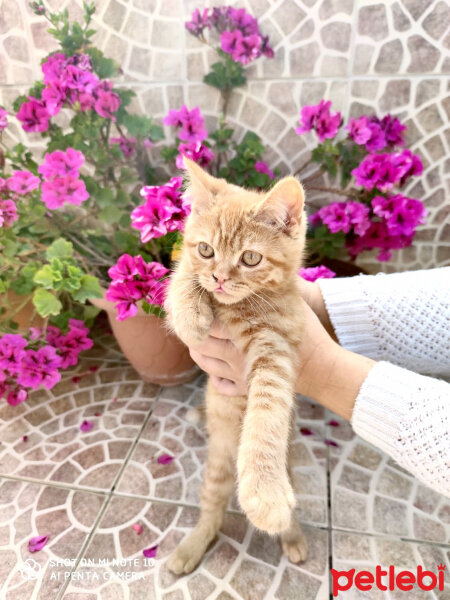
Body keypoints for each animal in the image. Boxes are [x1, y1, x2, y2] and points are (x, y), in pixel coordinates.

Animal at [167, 157, 308, 576]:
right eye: (206, 249)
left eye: (250, 258)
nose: (219, 278)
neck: (238, 308)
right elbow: (180, 277)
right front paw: (190, 314)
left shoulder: (277, 345)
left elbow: (268, 411)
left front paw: (264, 494)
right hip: (215, 466)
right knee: (212, 508)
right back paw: (192, 546)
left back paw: (292, 535)